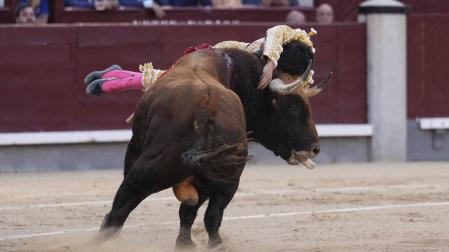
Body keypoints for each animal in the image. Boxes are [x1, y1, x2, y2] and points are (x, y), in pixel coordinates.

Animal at [98, 40, 328, 249]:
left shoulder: (134, 149)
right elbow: (193, 212)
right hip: (225, 173)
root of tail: (207, 108)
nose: (315, 148)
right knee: (210, 214)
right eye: (293, 108)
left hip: (152, 168)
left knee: (118, 213)